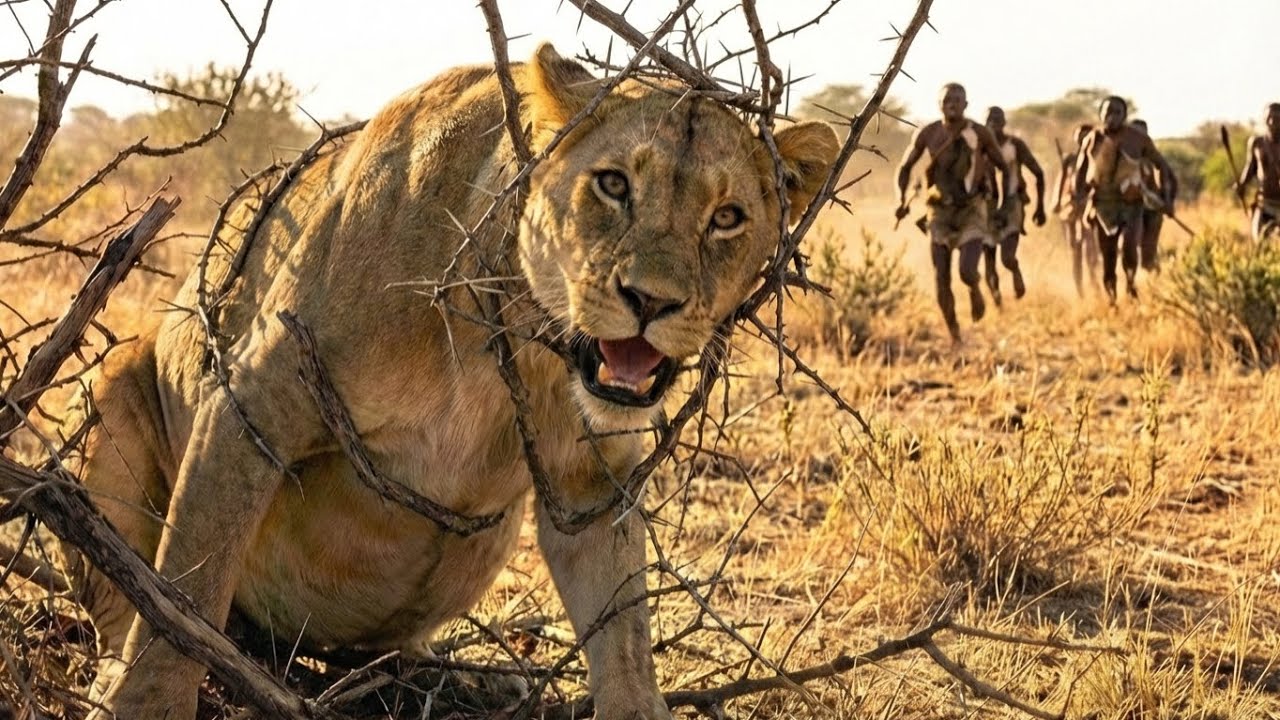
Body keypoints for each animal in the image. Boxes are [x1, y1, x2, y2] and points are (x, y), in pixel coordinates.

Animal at [65, 44, 837, 719]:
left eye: (727, 217)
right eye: (614, 184)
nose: (650, 301)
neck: (519, 341)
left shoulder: (590, 484)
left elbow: (625, 642)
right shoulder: (252, 402)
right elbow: (184, 591)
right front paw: (140, 706)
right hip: (112, 380)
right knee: (124, 601)